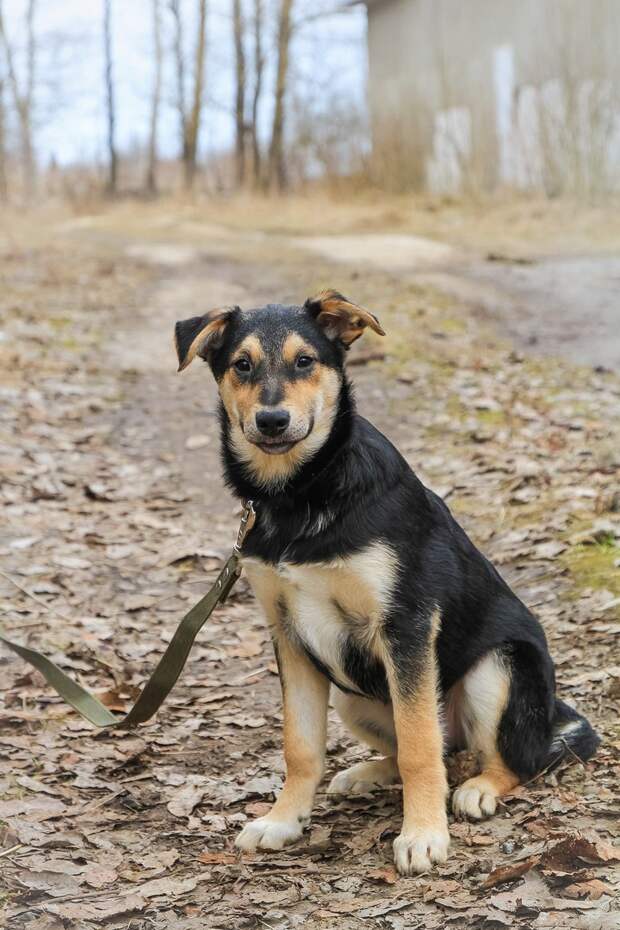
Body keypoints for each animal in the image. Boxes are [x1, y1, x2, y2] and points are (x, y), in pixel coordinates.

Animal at [172, 292, 600, 876]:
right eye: (241, 364)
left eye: (305, 361)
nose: (272, 420)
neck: (300, 495)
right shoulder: (289, 635)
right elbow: (301, 745)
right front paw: (284, 820)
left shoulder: (406, 626)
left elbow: (420, 747)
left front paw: (422, 835)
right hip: (353, 697)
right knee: (436, 749)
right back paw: (367, 774)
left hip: (498, 669)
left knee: (506, 758)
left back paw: (478, 789)